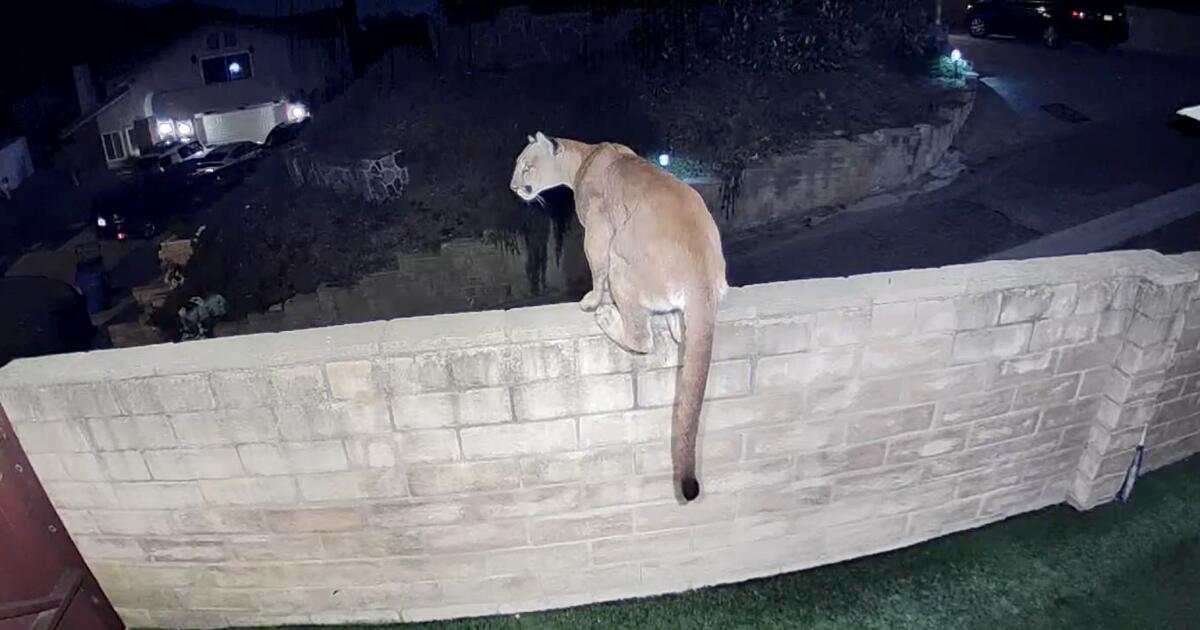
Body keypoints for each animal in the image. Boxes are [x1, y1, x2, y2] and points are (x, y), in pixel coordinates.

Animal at [510, 132, 728, 502]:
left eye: (527, 166)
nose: (513, 186)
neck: (583, 156)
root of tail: (701, 274)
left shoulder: (597, 231)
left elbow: (595, 271)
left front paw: (592, 301)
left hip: (620, 261)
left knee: (642, 338)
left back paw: (608, 317)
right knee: (680, 333)